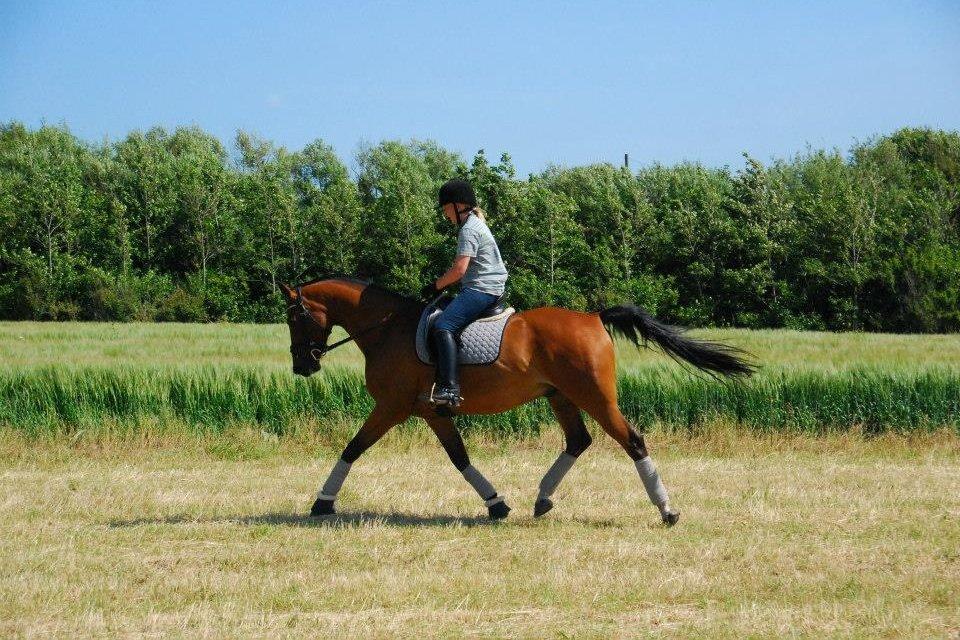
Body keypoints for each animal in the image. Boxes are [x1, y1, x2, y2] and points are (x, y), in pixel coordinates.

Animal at [280, 276, 754, 525]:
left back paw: (667, 510)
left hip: (595, 397)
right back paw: (541, 500)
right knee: (578, 441)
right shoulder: (432, 412)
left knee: (632, 441)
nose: (302, 366)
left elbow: (352, 448)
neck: (386, 329)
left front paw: (322, 502)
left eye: (293, 317)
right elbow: (460, 458)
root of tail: (593, 317)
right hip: (562, 397)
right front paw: (496, 504)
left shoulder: (392, 407)